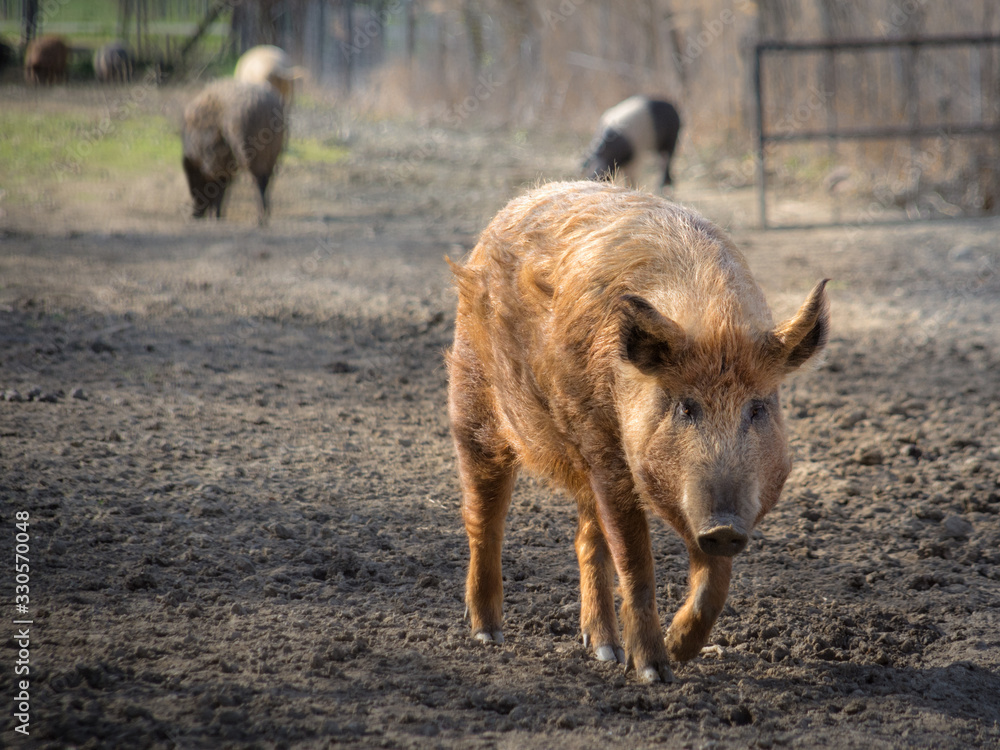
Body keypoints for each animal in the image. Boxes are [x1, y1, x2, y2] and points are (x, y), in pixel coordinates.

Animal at [181, 79, 285, 224]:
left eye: (194, 181)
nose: (193, 215)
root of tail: (266, 105)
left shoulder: (214, 159)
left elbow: (218, 182)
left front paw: (215, 217)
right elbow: (223, 183)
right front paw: (217, 216)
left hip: (247, 146)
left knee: (257, 179)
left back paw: (259, 219)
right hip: (275, 149)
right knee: (267, 178)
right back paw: (264, 216)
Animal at [447, 181, 829, 683]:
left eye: (758, 408)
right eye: (685, 406)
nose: (725, 525)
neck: (713, 322)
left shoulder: (688, 496)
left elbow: (715, 577)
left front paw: (681, 649)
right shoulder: (611, 455)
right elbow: (635, 559)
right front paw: (654, 672)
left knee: (587, 539)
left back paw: (604, 650)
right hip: (473, 405)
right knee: (484, 518)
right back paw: (487, 635)